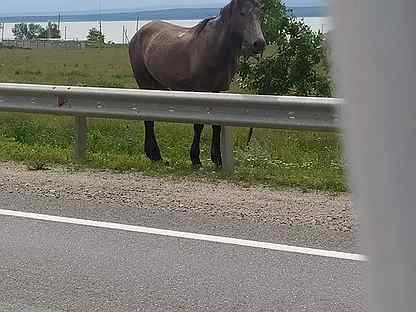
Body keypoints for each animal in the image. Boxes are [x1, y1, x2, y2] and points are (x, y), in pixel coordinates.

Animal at [128, 0, 264, 168]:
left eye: (260, 13)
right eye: (242, 13)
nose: (259, 43)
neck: (214, 47)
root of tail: (139, 33)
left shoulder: (218, 91)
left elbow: (217, 125)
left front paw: (217, 159)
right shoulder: (201, 90)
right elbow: (198, 125)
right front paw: (195, 159)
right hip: (144, 82)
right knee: (149, 120)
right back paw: (155, 155)